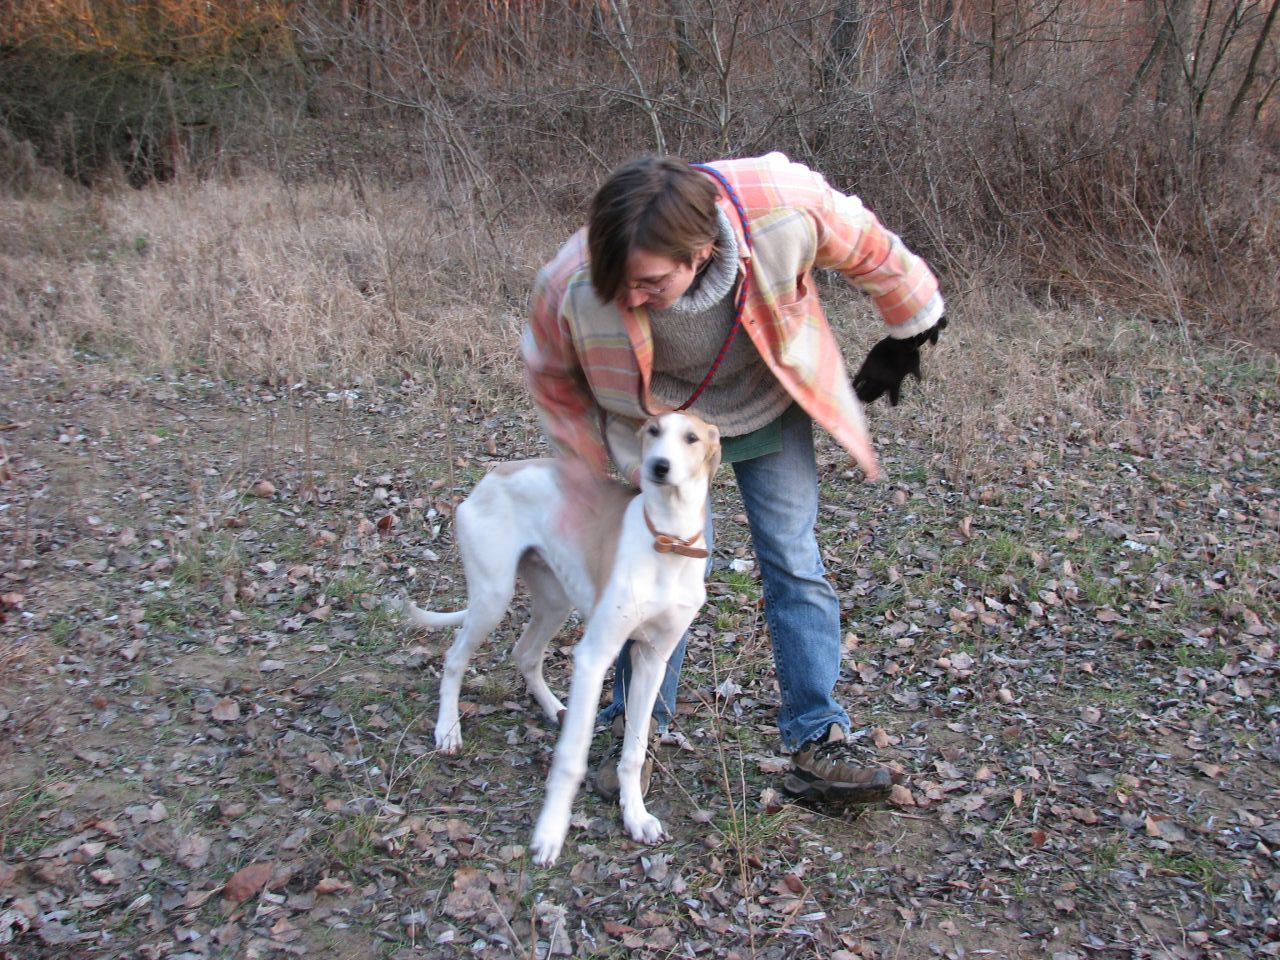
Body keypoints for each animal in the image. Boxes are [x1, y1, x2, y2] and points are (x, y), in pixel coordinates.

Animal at [398, 411, 720, 866]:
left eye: (691, 438)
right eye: (653, 432)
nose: (658, 467)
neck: (667, 540)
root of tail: (493, 475)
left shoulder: (652, 658)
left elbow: (634, 749)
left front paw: (636, 817)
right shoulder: (594, 656)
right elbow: (571, 758)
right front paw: (550, 834)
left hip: (554, 600)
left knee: (525, 653)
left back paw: (552, 707)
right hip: (493, 597)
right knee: (455, 658)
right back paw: (448, 730)